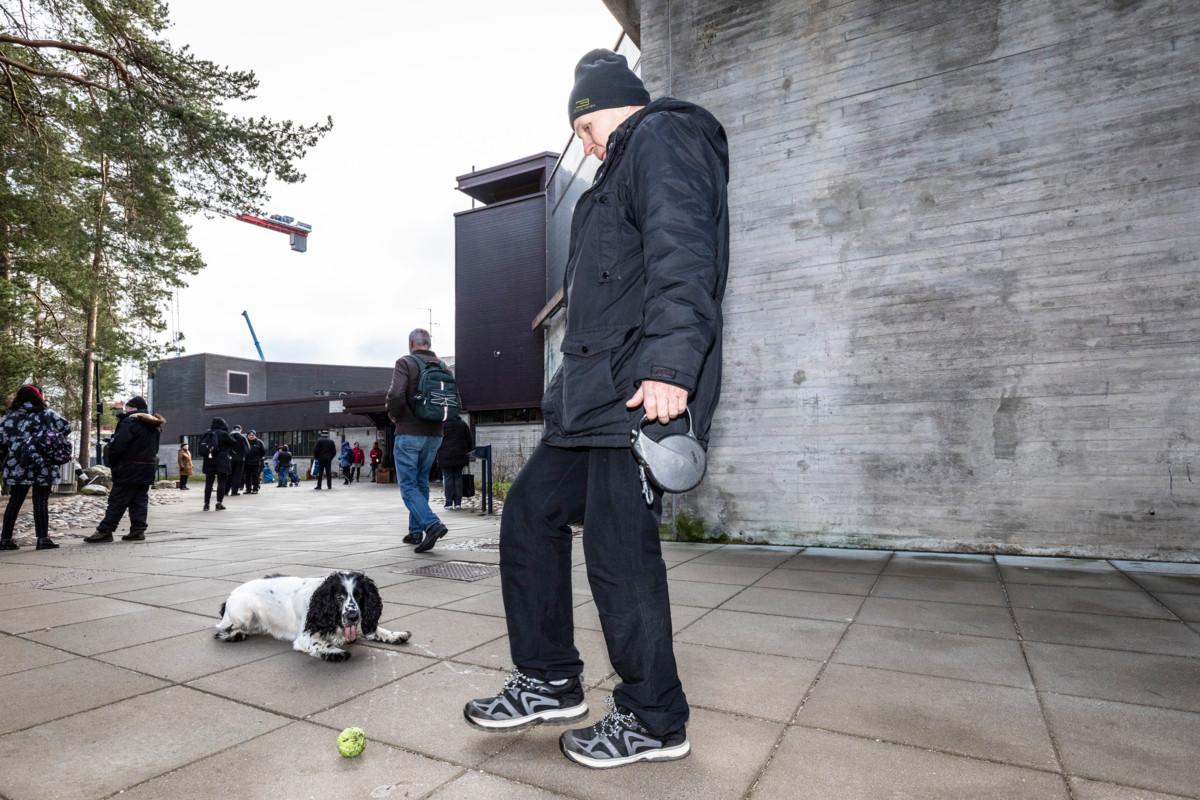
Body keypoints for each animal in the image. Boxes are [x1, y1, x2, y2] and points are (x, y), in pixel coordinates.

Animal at [211, 568, 408, 662]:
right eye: (339, 597)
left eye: (360, 595)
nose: (352, 616)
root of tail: (229, 597)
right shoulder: (305, 636)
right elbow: (319, 643)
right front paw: (334, 652)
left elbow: (375, 629)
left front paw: (394, 634)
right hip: (243, 613)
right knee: (222, 628)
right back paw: (234, 634)